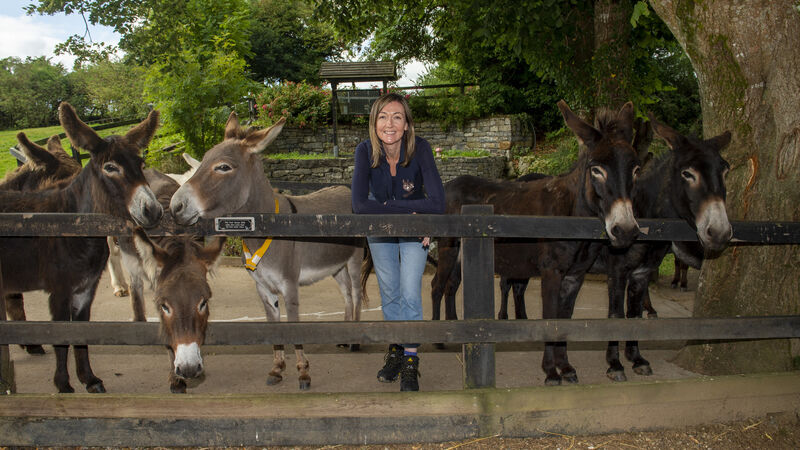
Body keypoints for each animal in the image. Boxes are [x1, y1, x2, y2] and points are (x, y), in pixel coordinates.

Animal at [0, 102, 163, 393]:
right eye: (110, 167)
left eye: (141, 163)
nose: (153, 211)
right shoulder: (59, 291)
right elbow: (62, 336)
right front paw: (63, 385)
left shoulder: (85, 288)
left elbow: (82, 333)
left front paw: (89, 379)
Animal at [170, 114, 365, 390]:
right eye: (203, 160)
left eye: (223, 167)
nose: (175, 206)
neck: (267, 229)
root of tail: (344, 188)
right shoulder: (263, 288)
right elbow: (274, 327)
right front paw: (277, 369)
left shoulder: (290, 285)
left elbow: (293, 326)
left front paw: (303, 373)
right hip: (336, 265)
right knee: (347, 294)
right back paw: (344, 335)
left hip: (355, 259)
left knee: (356, 293)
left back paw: (355, 341)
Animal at [430, 100, 642, 386]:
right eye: (596, 170)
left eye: (636, 169)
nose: (626, 231)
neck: (572, 217)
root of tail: (449, 184)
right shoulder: (551, 271)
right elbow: (550, 317)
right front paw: (551, 372)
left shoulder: (575, 275)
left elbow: (565, 318)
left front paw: (566, 368)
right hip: (448, 247)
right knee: (437, 285)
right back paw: (438, 338)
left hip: (463, 254)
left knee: (451, 285)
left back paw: (454, 332)